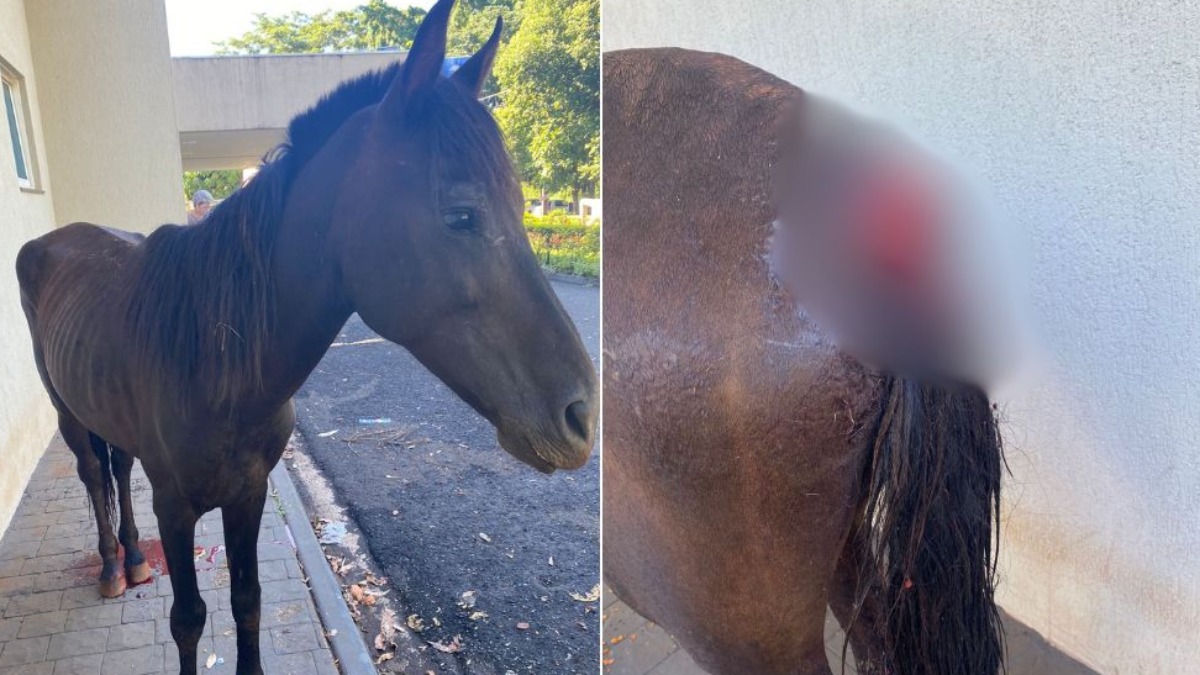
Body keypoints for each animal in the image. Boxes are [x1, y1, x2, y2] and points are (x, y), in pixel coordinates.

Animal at [14, 2, 598, 673]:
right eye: (460, 215)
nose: (582, 415)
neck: (215, 361)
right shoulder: (176, 508)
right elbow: (188, 620)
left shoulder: (248, 494)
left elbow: (247, 603)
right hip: (65, 411)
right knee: (92, 473)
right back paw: (113, 566)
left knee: (118, 466)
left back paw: (136, 560)